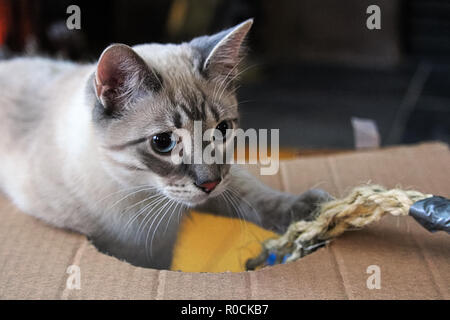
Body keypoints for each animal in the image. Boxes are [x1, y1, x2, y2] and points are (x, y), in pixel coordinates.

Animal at [0, 20, 330, 268]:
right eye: (163, 143)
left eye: (222, 130)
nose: (208, 184)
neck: (144, 195)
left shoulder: (221, 181)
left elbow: (253, 195)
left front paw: (312, 212)